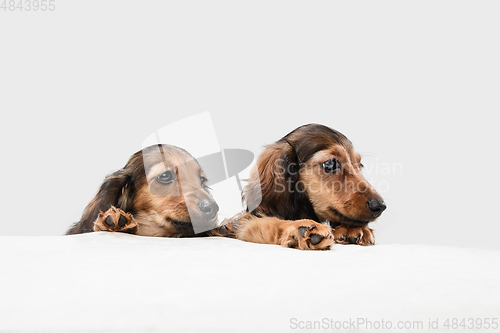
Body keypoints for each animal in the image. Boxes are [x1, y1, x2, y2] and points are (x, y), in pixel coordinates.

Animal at [216, 123, 386, 248]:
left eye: (360, 165)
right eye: (330, 164)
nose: (380, 206)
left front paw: (353, 228)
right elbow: (268, 222)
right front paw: (299, 228)